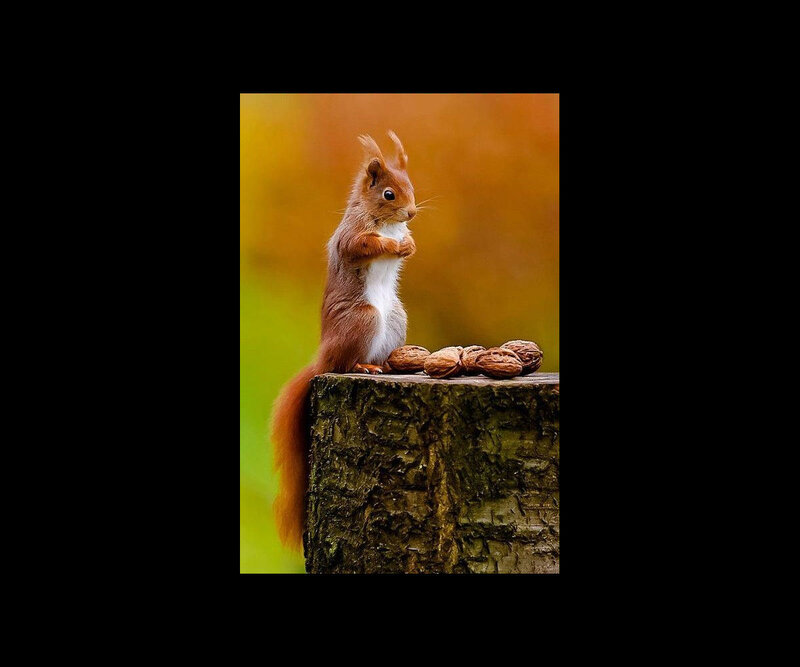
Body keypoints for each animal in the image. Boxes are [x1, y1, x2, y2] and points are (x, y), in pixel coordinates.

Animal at [271, 131, 418, 550]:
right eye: (388, 194)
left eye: (412, 187)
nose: (411, 214)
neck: (385, 223)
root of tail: (323, 358)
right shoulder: (352, 234)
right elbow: (362, 245)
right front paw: (395, 246)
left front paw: (409, 244)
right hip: (362, 320)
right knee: (343, 364)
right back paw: (363, 365)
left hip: (396, 321)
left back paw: (387, 365)